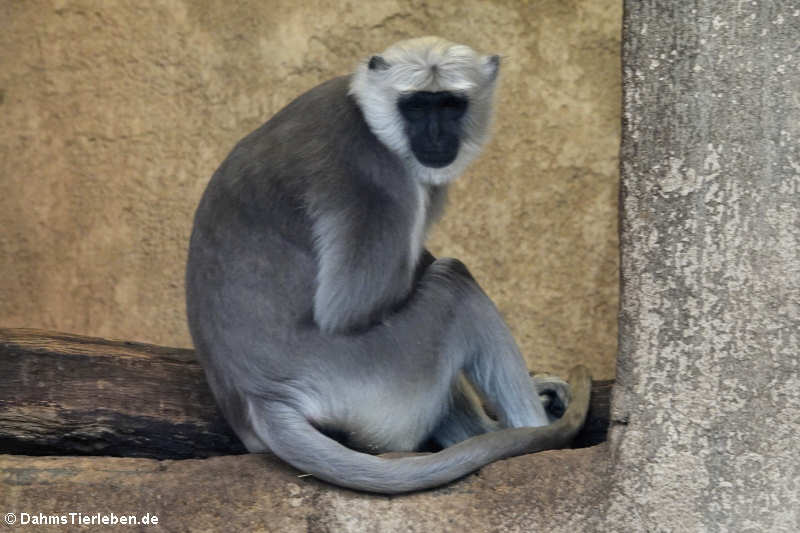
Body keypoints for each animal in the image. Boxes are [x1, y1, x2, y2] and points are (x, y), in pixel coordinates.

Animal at [184, 36, 592, 494]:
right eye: (416, 106)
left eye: (449, 105)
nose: (435, 134)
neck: (366, 112)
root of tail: (260, 397)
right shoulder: (374, 175)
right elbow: (350, 309)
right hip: (380, 375)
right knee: (454, 280)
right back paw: (532, 431)